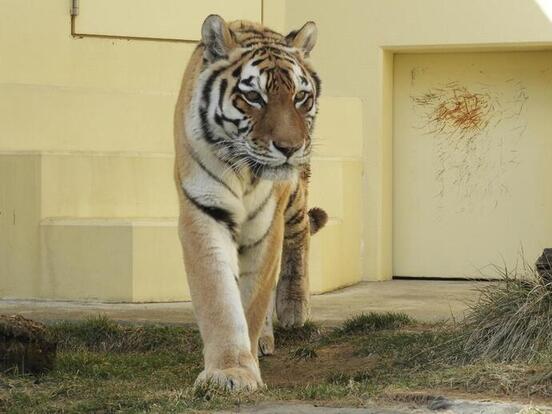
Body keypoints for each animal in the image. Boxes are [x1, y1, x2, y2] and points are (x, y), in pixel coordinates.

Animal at [175, 15, 326, 392]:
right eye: (253, 96)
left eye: (300, 97)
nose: (289, 147)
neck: (244, 171)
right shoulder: (205, 213)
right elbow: (219, 298)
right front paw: (229, 371)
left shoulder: (266, 224)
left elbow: (254, 298)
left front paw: (243, 366)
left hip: (295, 194)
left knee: (300, 232)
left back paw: (292, 308)